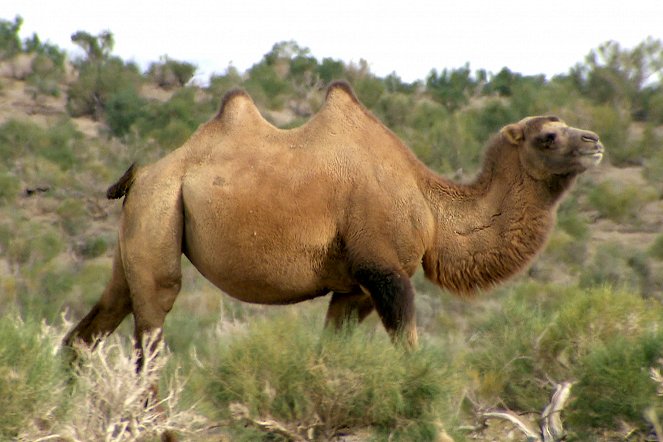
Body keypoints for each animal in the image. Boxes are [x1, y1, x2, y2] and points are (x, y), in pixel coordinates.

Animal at [65, 81, 604, 354]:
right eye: (548, 136)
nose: (594, 141)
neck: (431, 207)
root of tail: (141, 175)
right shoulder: (385, 272)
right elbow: (409, 356)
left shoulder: (353, 289)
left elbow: (329, 357)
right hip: (160, 211)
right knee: (152, 333)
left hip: (139, 229)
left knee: (91, 327)